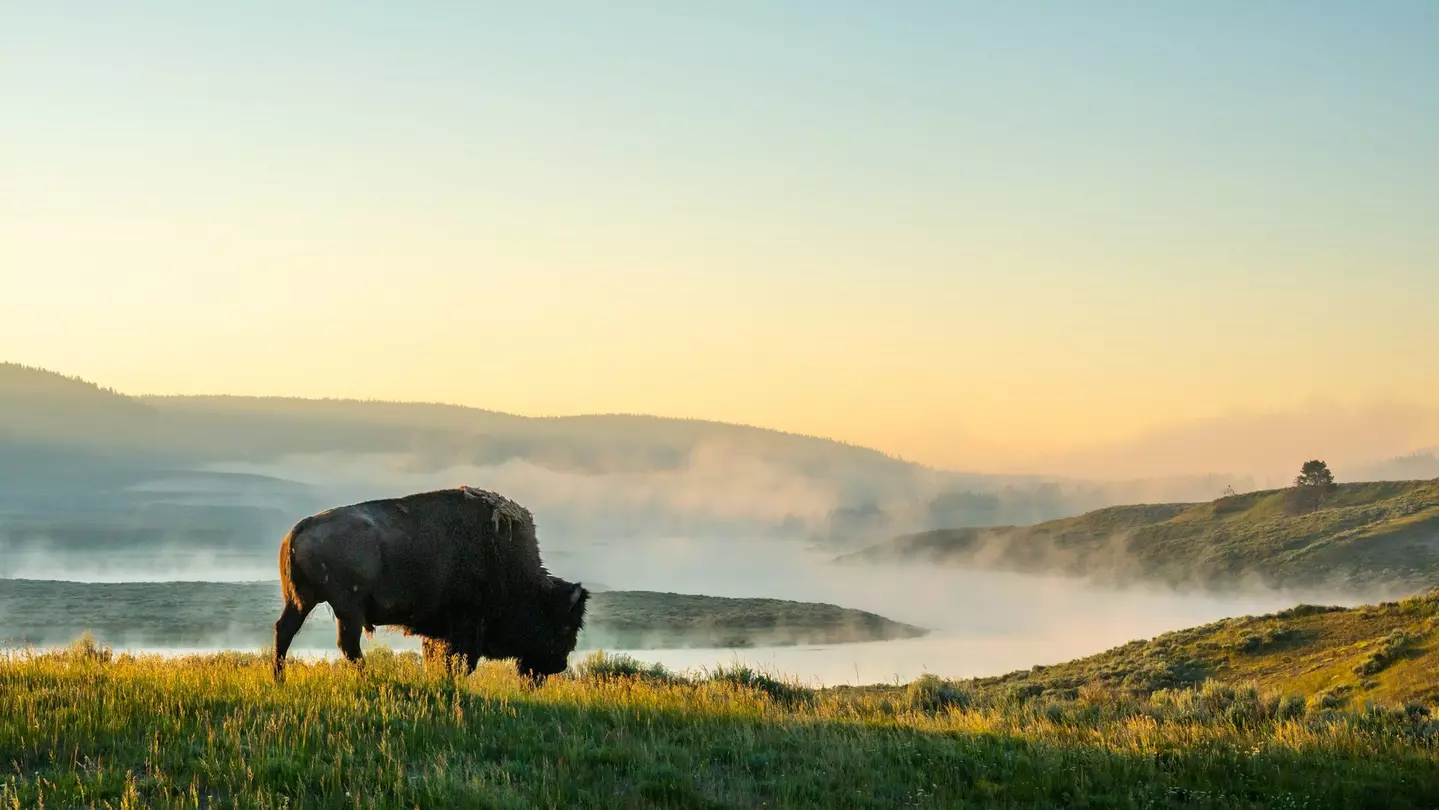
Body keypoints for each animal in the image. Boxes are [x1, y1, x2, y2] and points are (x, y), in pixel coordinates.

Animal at [272, 486, 589, 684]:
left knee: (285, 631)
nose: (559, 665)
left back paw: (279, 679)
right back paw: (368, 677)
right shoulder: (465, 626)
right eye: (564, 626)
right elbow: (460, 661)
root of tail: (300, 528)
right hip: (347, 609)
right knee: (347, 645)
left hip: (302, 601)